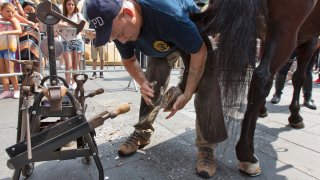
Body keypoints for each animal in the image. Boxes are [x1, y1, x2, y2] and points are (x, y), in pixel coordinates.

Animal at [191, 0, 318, 176]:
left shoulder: (266, 36)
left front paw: (262, 109)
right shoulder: (309, 39)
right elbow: (299, 77)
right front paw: (295, 116)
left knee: (194, 27)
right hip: (286, 29)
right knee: (261, 78)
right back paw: (247, 156)